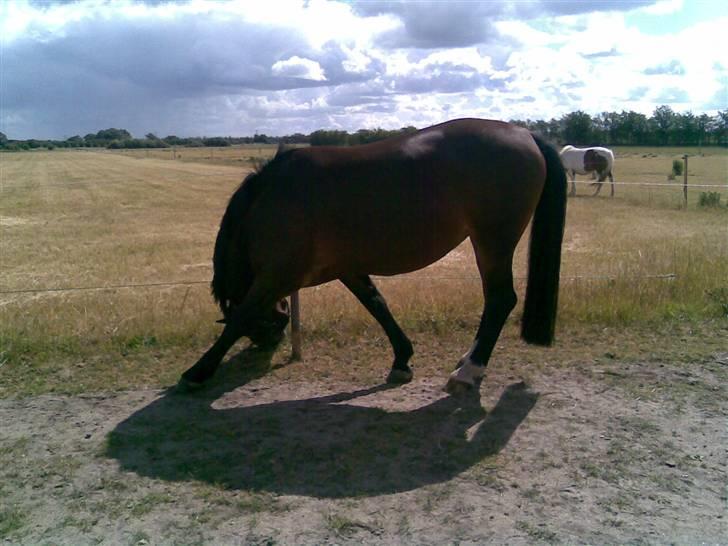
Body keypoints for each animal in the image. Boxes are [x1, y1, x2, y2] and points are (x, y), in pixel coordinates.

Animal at [181, 118, 568, 392]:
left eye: (262, 330)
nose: (265, 349)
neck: (270, 198)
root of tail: (525, 133)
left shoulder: (277, 274)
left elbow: (239, 317)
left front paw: (197, 372)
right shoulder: (348, 269)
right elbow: (377, 305)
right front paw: (402, 360)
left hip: (492, 241)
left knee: (501, 299)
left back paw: (468, 372)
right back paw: (466, 362)